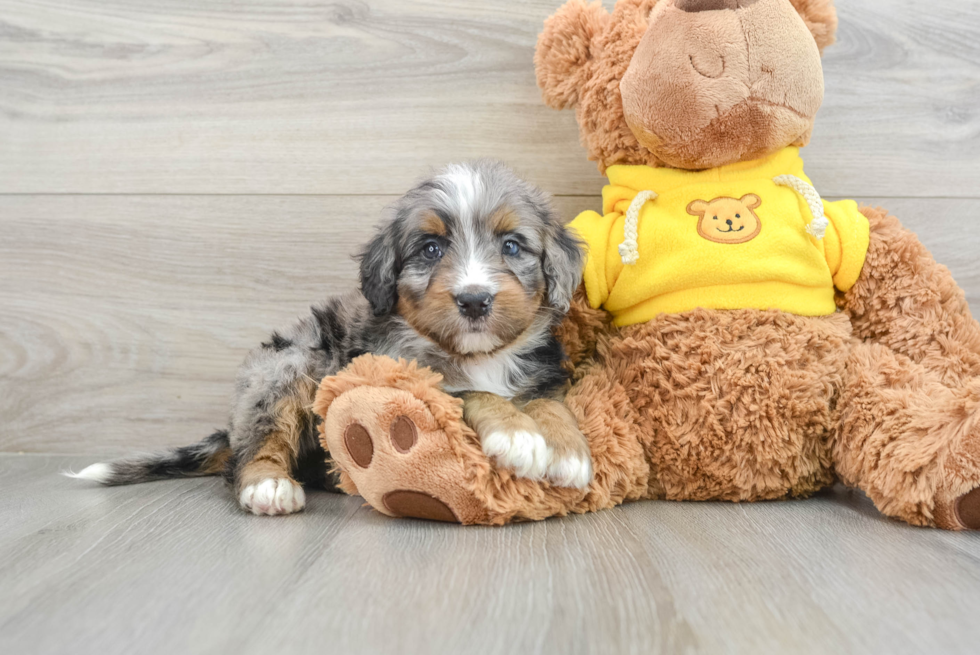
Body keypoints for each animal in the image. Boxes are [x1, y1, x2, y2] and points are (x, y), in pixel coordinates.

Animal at [71, 161, 588, 516]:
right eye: (431, 249)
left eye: (512, 246)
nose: (475, 300)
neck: (478, 355)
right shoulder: (396, 379)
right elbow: (472, 393)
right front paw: (517, 434)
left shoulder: (545, 374)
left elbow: (551, 404)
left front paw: (567, 451)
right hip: (286, 366)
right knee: (249, 454)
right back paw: (268, 486)